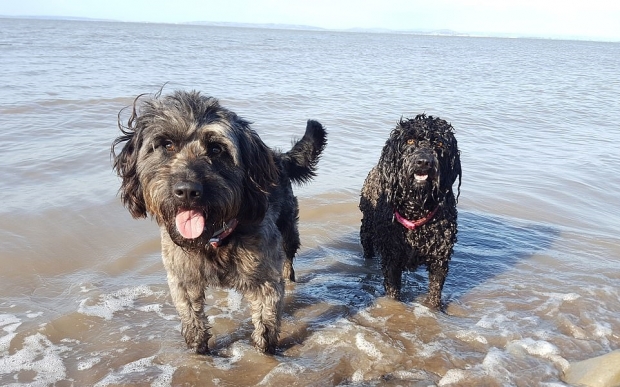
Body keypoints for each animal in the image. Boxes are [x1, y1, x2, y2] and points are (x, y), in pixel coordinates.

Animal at [111, 90, 326, 354]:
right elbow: (191, 317)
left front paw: (264, 351)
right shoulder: (182, 277)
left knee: (288, 259)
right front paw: (198, 349)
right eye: (167, 144)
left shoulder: (265, 277)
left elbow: (266, 320)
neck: (212, 239)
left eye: (216, 149)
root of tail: (278, 157)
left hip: (288, 230)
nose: (187, 191)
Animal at [358, 115, 460, 310]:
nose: (424, 162)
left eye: (440, 144)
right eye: (410, 140)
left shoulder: (439, 259)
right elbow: (393, 293)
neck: (417, 207)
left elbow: (435, 291)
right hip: (366, 230)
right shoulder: (392, 258)